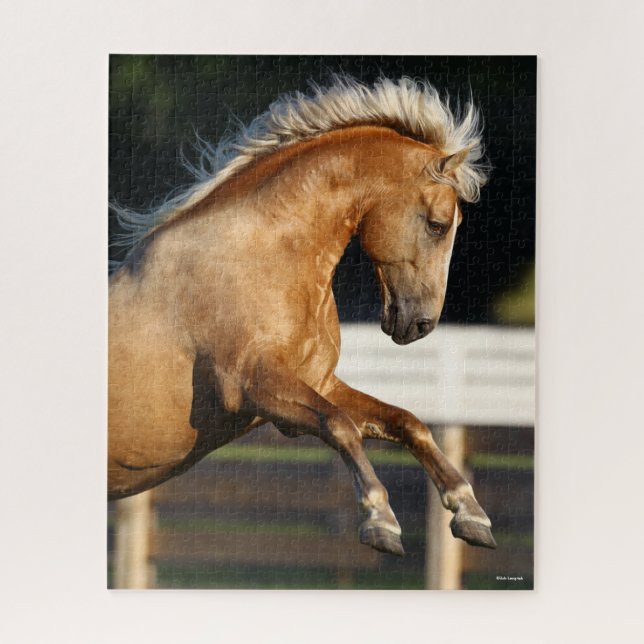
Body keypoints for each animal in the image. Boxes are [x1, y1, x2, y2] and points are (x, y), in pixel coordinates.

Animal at [108, 75, 496, 555]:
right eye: (438, 225)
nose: (421, 324)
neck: (260, 257)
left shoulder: (317, 382)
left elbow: (407, 423)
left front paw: (472, 513)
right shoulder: (253, 385)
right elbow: (340, 425)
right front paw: (380, 521)